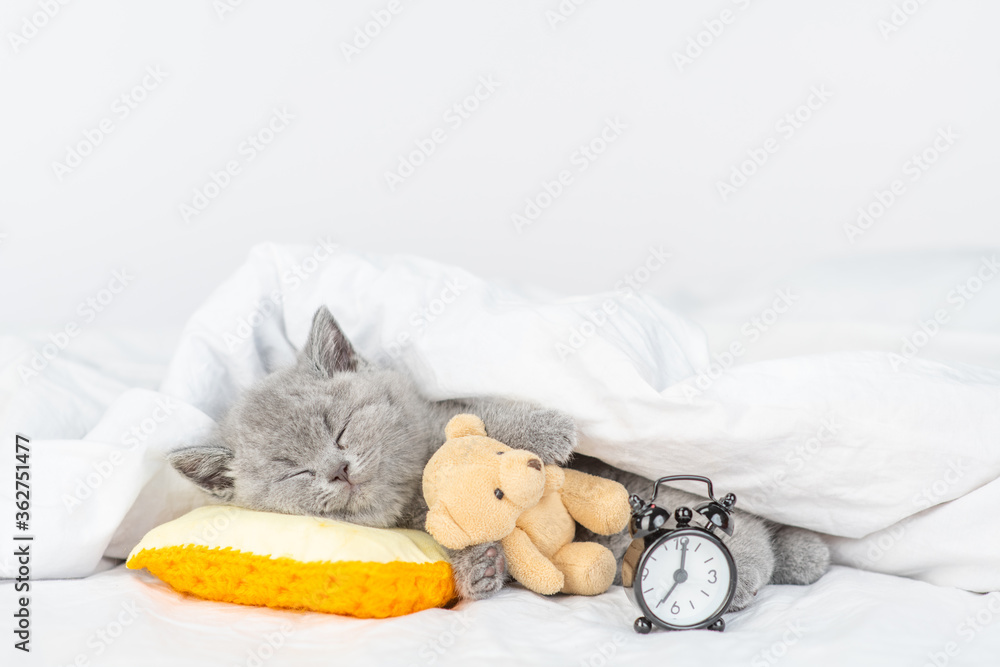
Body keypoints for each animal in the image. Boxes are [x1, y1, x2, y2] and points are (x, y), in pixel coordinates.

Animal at [170, 306, 828, 608]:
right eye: (295, 473)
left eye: (341, 429)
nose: (338, 471)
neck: (415, 485)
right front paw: (478, 570)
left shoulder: (446, 407)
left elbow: (482, 416)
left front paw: (548, 430)